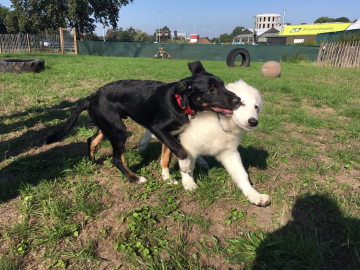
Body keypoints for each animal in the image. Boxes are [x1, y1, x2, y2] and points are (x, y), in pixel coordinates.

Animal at [45, 61, 242, 184]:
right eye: (211, 90)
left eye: (222, 84)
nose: (238, 100)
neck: (180, 102)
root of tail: (91, 96)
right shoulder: (158, 129)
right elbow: (181, 151)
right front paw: (186, 166)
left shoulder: (170, 135)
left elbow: (166, 157)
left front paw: (167, 178)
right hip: (119, 130)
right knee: (116, 159)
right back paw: (135, 178)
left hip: (107, 125)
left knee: (91, 140)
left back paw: (91, 161)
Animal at [138, 80, 270, 207]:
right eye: (241, 103)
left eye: (256, 107)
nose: (254, 122)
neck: (219, 123)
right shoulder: (188, 147)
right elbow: (187, 165)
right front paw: (188, 183)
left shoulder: (229, 153)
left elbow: (242, 175)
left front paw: (254, 195)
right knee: (151, 131)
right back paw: (141, 147)